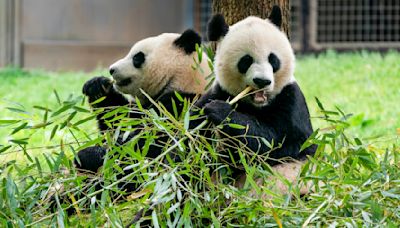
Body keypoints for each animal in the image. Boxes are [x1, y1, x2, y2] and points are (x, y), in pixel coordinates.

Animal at [195, 6, 318, 196]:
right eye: (246, 60)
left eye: (273, 59)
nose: (262, 81)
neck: (257, 106)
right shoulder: (219, 92)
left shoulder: (291, 100)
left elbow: (275, 143)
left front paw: (220, 111)